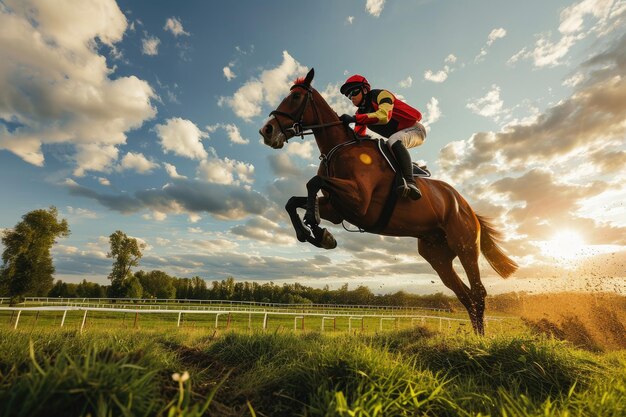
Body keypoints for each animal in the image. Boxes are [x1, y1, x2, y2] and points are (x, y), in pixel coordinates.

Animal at [258, 69, 516, 334]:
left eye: (296, 97)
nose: (267, 131)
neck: (338, 148)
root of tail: (467, 207)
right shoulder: (338, 208)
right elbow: (292, 201)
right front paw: (315, 234)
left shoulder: (359, 201)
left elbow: (313, 181)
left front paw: (315, 224)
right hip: (437, 255)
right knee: (465, 295)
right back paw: (475, 336)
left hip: (464, 245)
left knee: (478, 292)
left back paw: (481, 339)